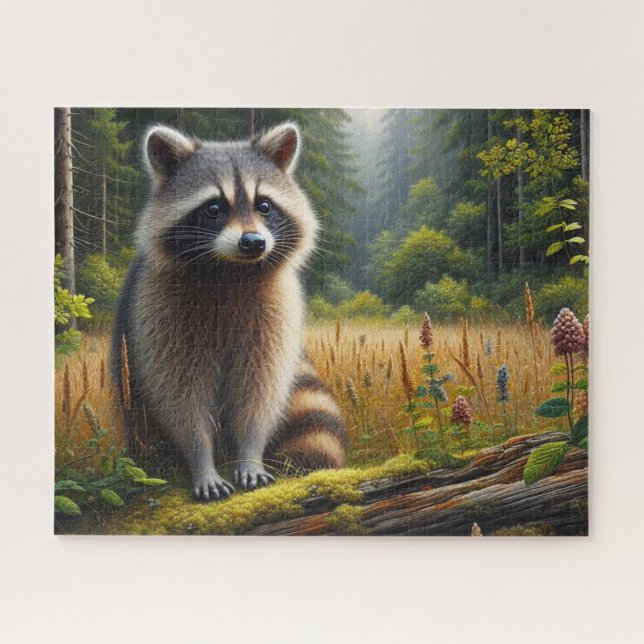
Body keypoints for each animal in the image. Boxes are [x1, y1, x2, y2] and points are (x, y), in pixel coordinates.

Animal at [111, 122, 346, 501]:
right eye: (213, 208)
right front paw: (201, 461)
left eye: (264, 205)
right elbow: (180, 396)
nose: (253, 242)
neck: (231, 272)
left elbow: (259, 391)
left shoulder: (275, 310)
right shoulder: (159, 310)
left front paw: (250, 454)